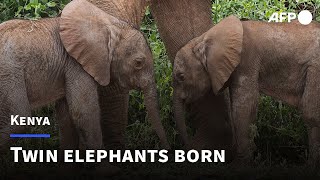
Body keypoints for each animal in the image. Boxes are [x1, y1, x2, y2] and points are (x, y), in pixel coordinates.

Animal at [172, 15, 320, 167]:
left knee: (310, 113)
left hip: (315, 68)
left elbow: (243, 108)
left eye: (181, 77)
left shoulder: (246, 61)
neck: (204, 39)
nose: (188, 149)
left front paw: (239, 165)